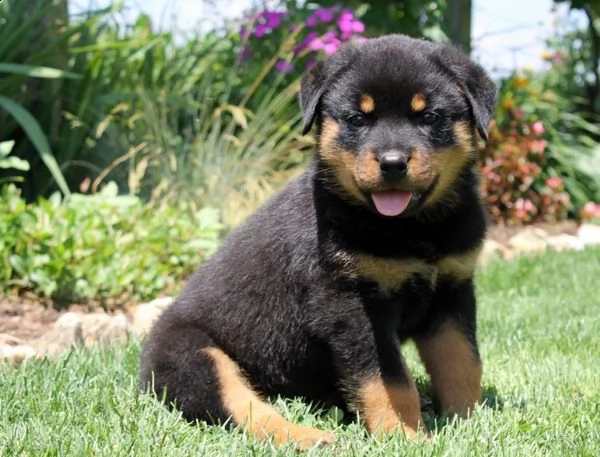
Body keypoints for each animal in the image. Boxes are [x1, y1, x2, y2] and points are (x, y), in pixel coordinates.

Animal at [139, 33, 496, 448]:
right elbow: (388, 380)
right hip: (195, 356)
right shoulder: (350, 306)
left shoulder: (453, 288)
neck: (413, 228)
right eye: (358, 119)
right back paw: (309, 437)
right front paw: (405, 435)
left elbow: (462, 360)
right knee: (244, 408)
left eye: (429, 117)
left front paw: (469, 421)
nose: (392, 163)